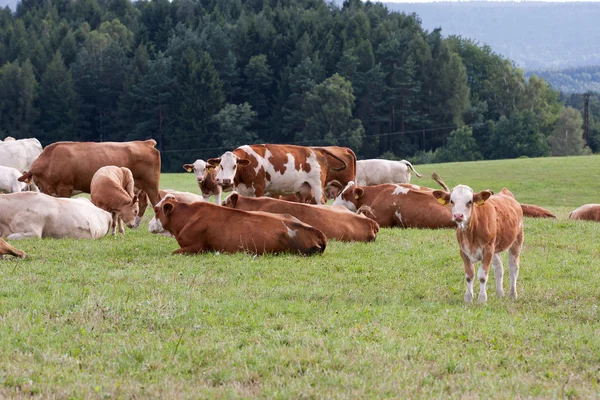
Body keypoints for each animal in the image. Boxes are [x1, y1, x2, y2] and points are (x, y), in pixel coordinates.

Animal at [206, 144, 346, 205]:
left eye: (235, 166)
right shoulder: (242, 189)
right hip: (303, 189)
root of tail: (317, 150)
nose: (225, 180)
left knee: (321, 201)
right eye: (221, 166)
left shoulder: (259, 188)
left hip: (317, 186)